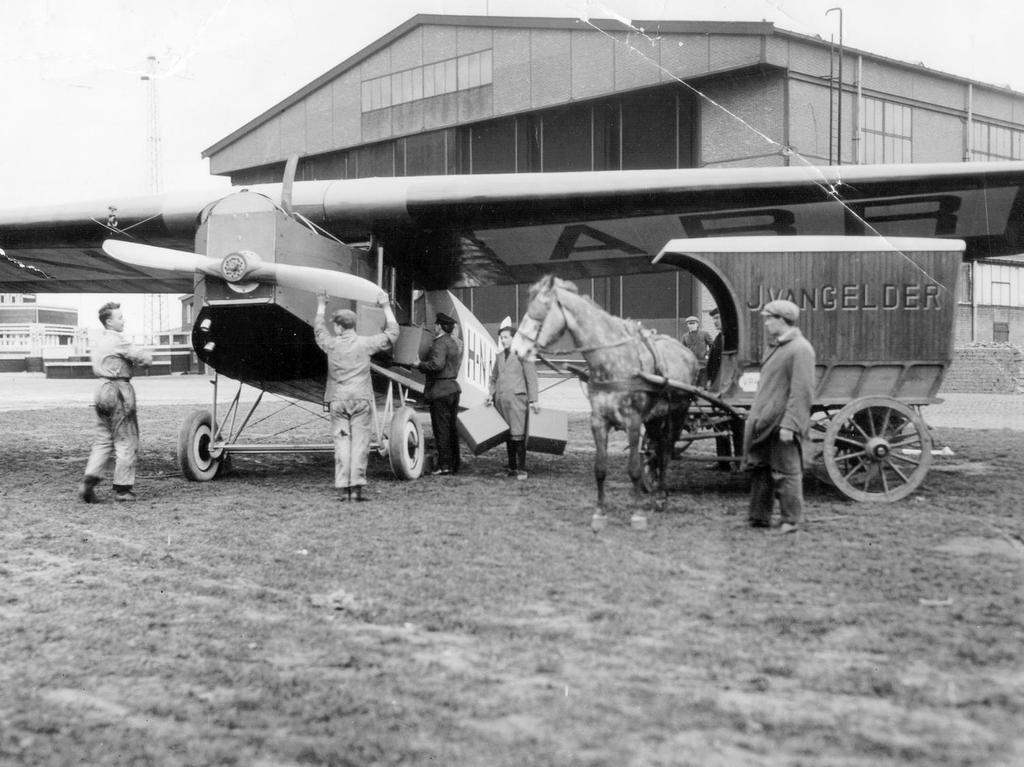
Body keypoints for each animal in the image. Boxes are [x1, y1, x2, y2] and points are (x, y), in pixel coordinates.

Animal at [509, 272, 700, 518]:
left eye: (540, 309)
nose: (516, 349)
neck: (613, 360)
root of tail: (688, 354)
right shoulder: (598, 421)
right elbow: (600, 468)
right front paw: (600, 510)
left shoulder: (633, 422)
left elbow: (634, 469)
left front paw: (637, 511)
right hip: (656, 417)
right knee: (657, 448)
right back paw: (657, 489)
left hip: (678, 412)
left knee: (666, 450)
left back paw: (661, 497)